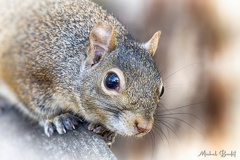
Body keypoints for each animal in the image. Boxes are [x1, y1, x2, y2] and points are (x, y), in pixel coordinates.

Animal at [0, 0, 163, 145]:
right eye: (111, 81)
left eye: (161, 90)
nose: (144, 126)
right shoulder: (28, 76)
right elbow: (35, 105)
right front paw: (57, 118)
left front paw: (106, 130)